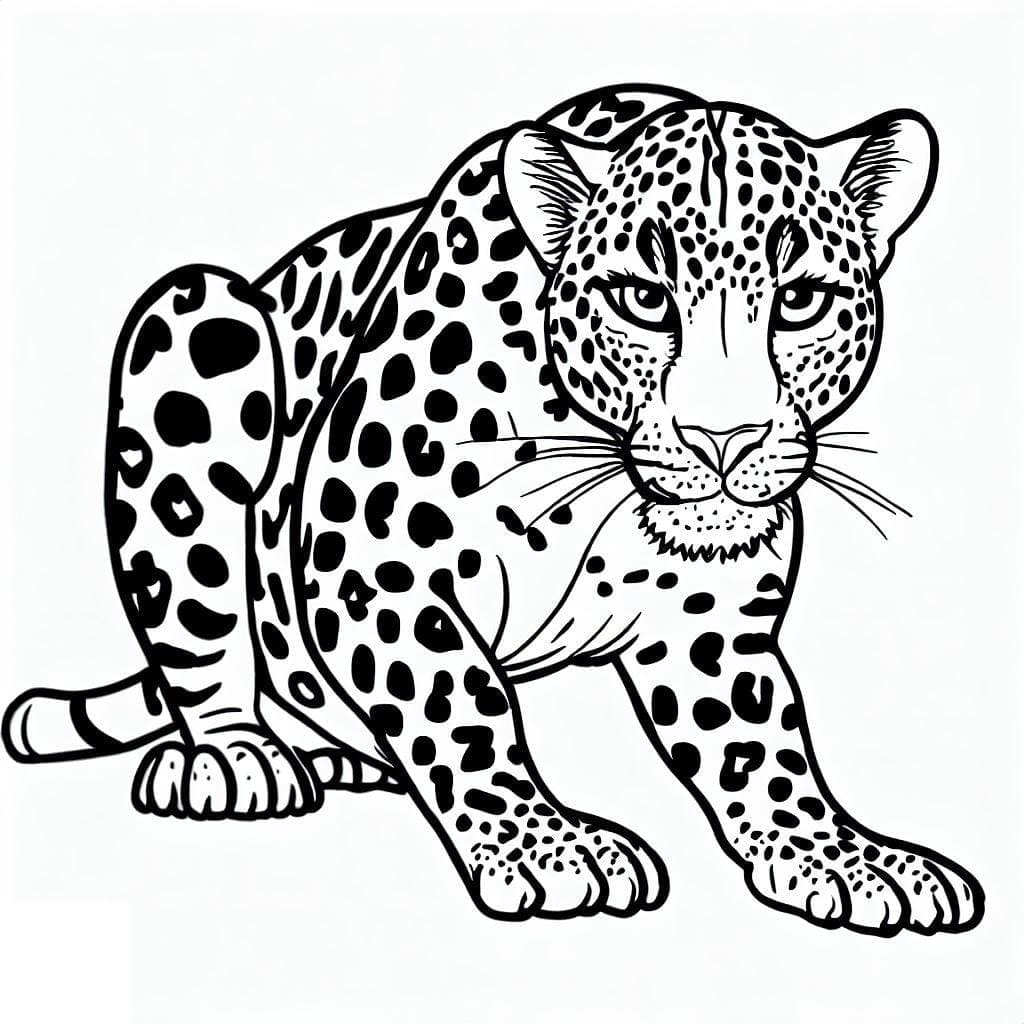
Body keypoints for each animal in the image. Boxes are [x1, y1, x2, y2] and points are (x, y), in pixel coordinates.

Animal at [2, 84, 984, 935]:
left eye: (801, 301)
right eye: (643, 299)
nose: (724, 437)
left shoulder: (710, 627)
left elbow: (762, 744)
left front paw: (840, 854)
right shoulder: (373, 565)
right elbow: (460, 704)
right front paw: (545, 845)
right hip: (200, 319)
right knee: (201, 640)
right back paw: (240, 758)